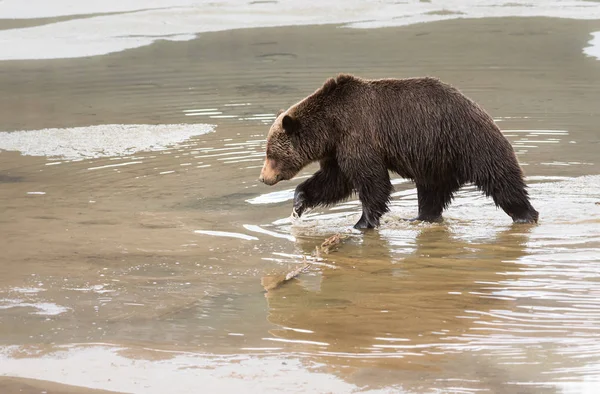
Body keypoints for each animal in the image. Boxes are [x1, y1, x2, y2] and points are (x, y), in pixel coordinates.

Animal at [258, 74, 540, 229]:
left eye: (271, 154)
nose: (263, 177)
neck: (329, 127)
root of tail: (480, 110)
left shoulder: (358, 134)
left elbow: (371, 180)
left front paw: (363, 222)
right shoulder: (337, 149)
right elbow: (334, 181)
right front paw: (299, 201)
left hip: (467, 142)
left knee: (501, 179)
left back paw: (525, 214)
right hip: (435, 161)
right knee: (431, 192)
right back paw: (420, 218)